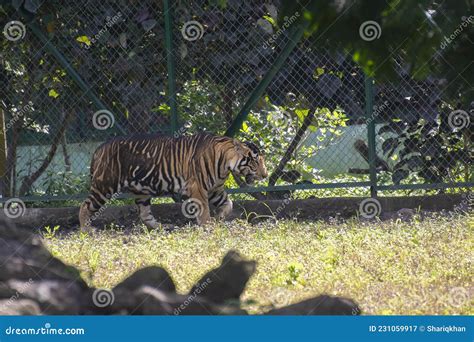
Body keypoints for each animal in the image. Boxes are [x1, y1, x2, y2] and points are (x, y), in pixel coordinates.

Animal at [79, 132, 268, 231]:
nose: (266, 175)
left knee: (145, 214)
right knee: (85, 206)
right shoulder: (198, 188)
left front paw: (219, 218)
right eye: (255, 161)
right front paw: (208, 225)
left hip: (142, 192)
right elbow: (204, 210)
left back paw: (162, 227)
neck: (225, 165)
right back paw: (87, 231)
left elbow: (229, 204)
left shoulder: (216, 190)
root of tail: (98, 148)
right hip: (104, 187)